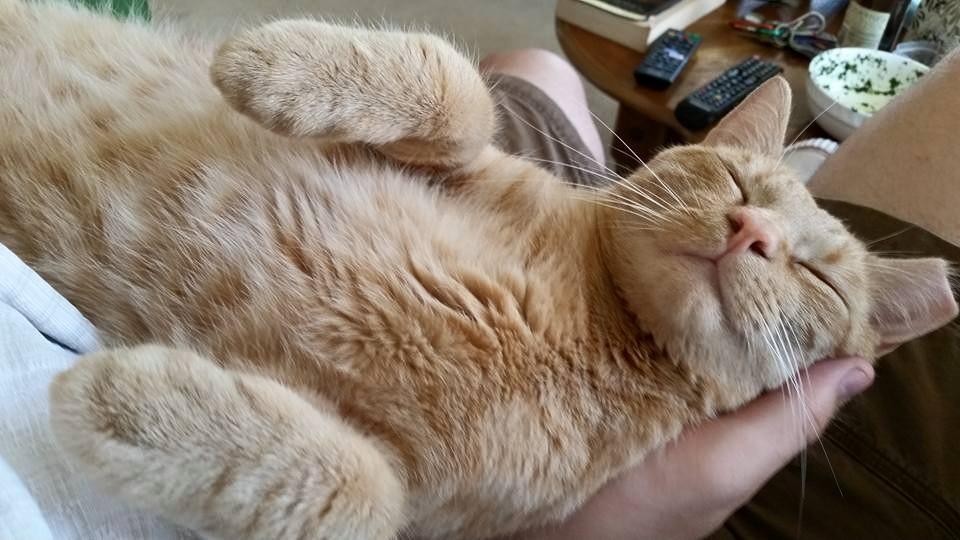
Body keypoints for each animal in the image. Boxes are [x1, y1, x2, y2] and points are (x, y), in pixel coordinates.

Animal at [3, 1, 956, 540]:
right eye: (733, 182)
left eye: (819, 277)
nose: (751, 229)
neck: (598, 322)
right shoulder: (474, 155)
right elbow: (460, 93)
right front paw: (269, 61)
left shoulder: (439, 516)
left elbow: (362, 493)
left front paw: (130, 405)